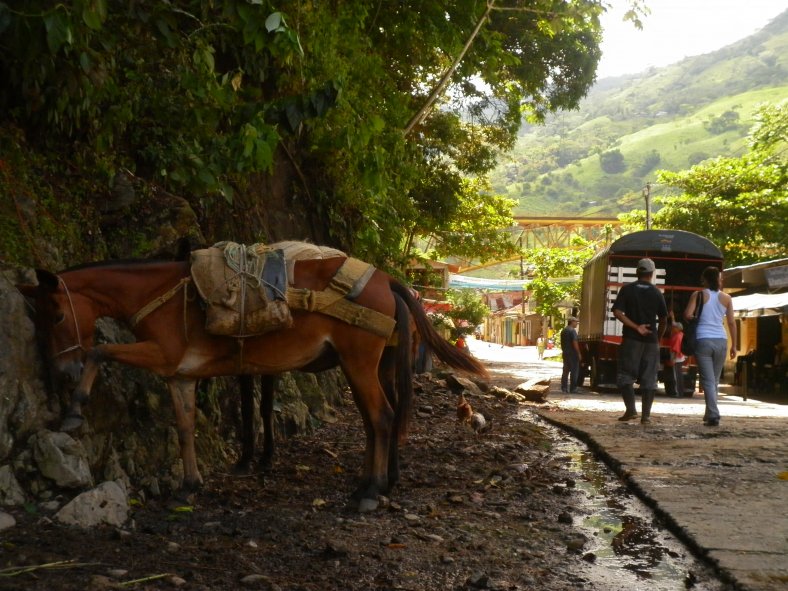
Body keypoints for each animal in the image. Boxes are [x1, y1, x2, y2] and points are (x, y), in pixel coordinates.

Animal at [20, 254, 486, 508]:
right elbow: (185, 428)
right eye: (37, 319)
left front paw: (74, 410)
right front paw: (189, 486)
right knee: (376, 421)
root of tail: (388, 280)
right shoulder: (179, 374)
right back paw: (368, 484)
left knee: (383, 416)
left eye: (57, 315)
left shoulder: (162, 354)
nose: (60, 372)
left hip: (358, 362)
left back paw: (369, 492)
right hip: (366, 366)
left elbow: (98, 351)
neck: (158, 295)